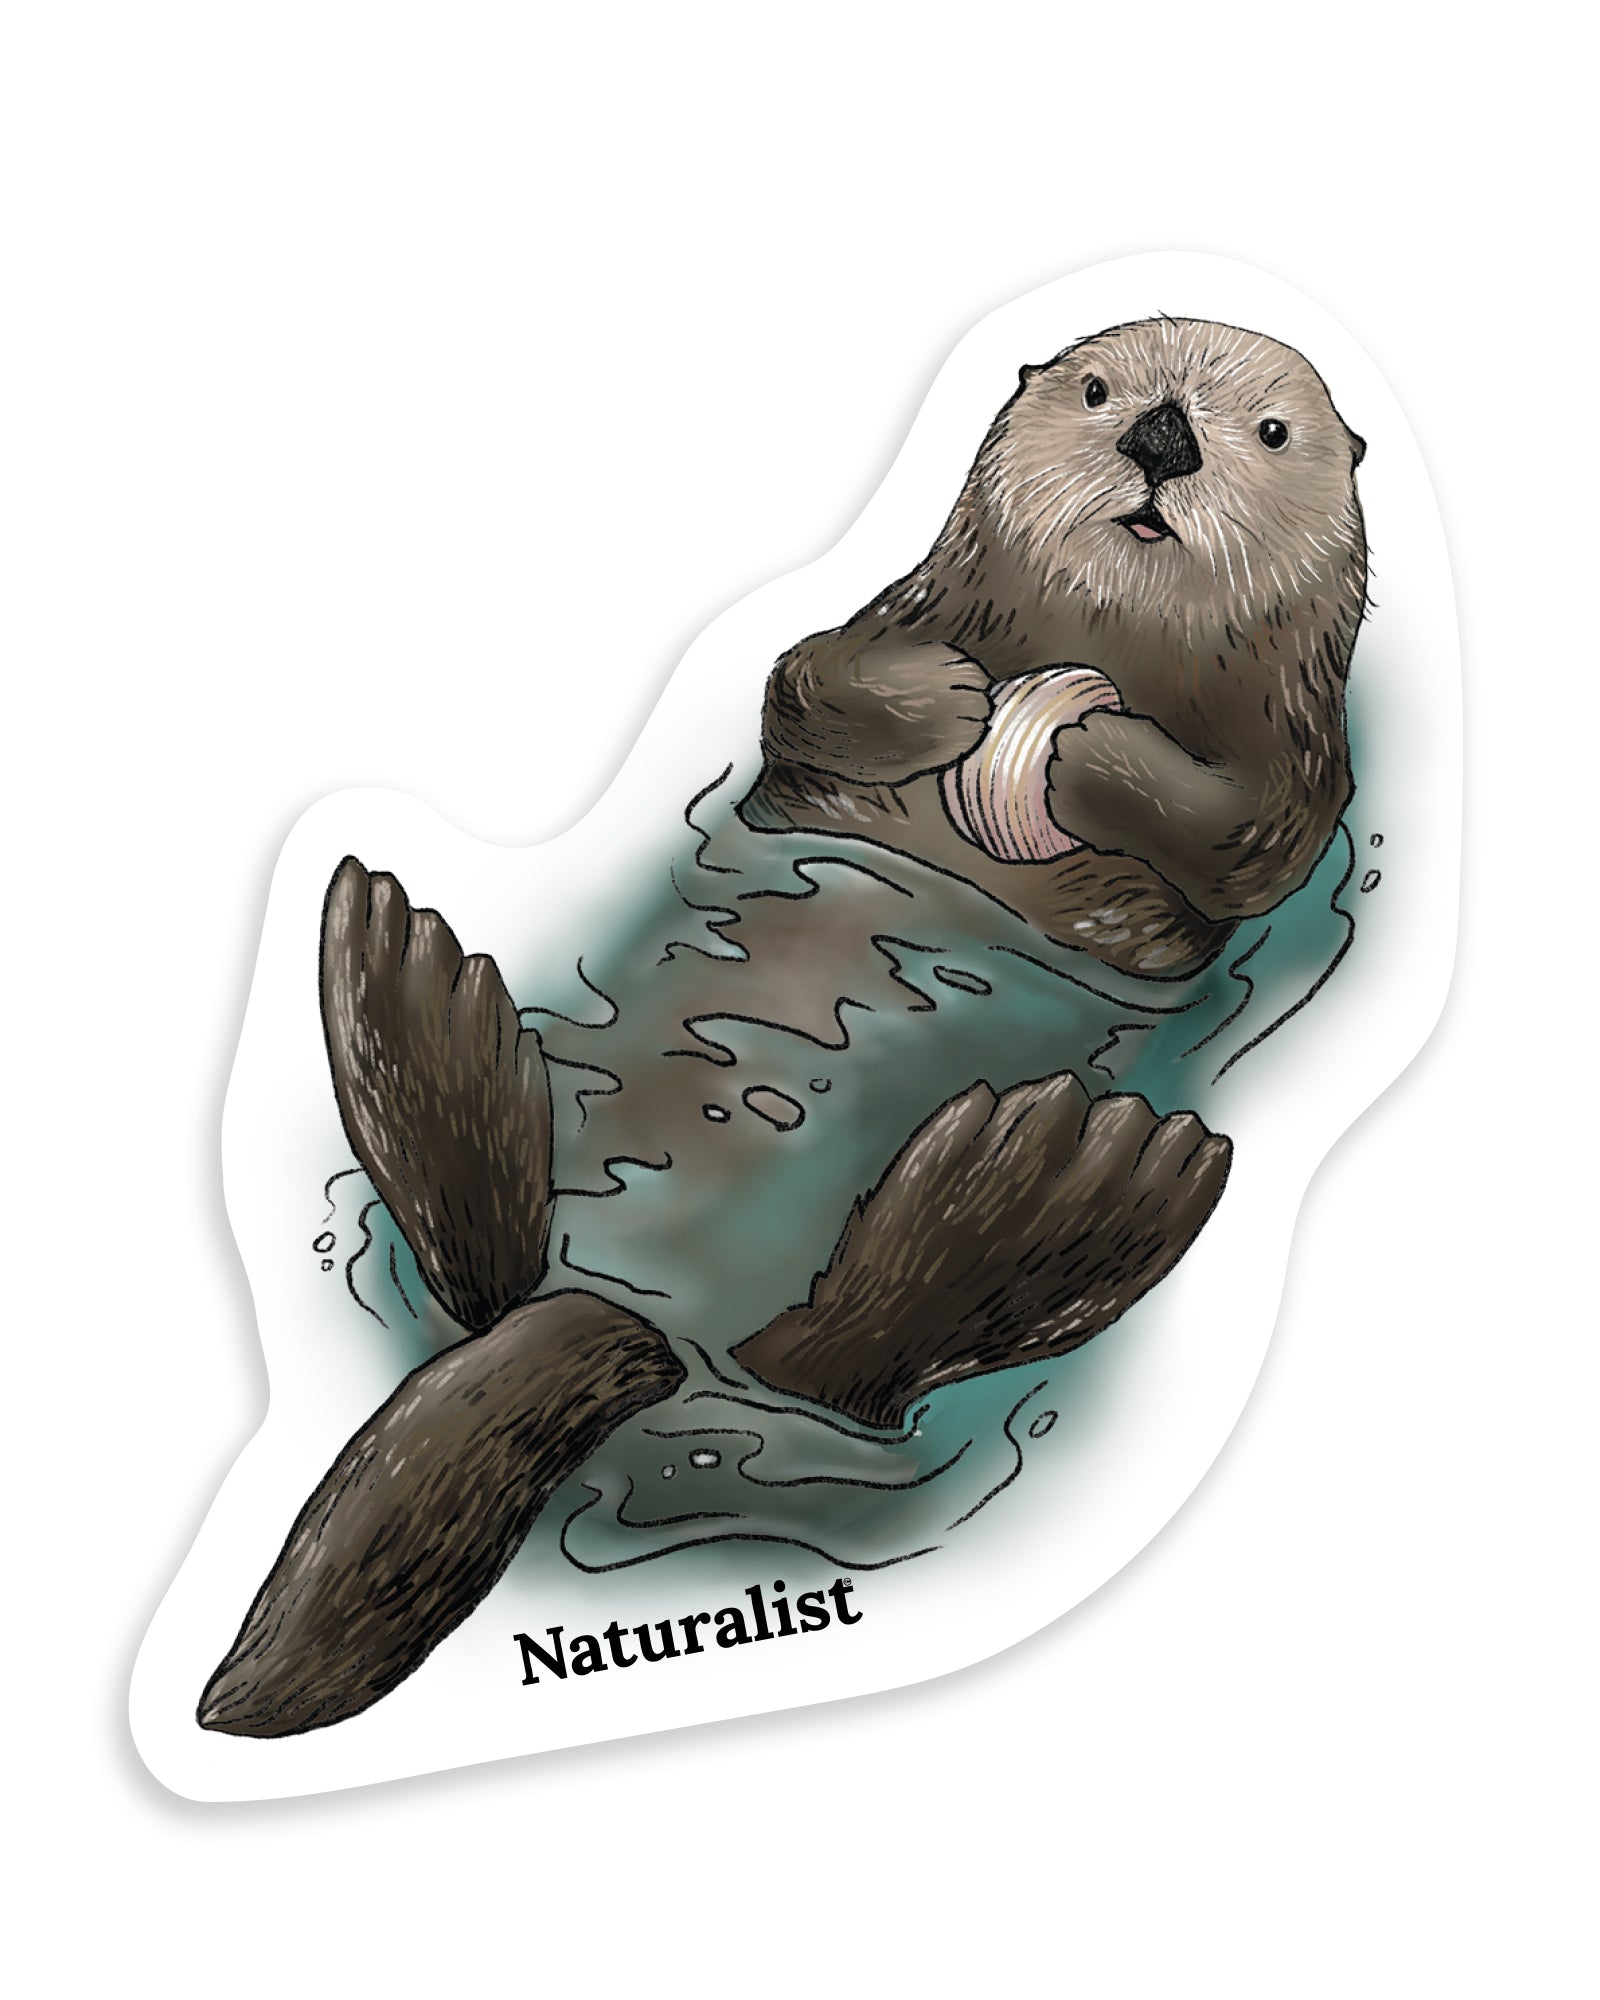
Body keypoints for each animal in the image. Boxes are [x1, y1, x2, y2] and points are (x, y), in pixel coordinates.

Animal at [744, 317, 1367, 978]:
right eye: (1095, 390)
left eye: (1274, 431)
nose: (1162, 441)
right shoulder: (911, 610)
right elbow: (801, 680)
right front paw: (952, 694)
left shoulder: (1293, 729)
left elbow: (1259, 842)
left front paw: (1094, 752)